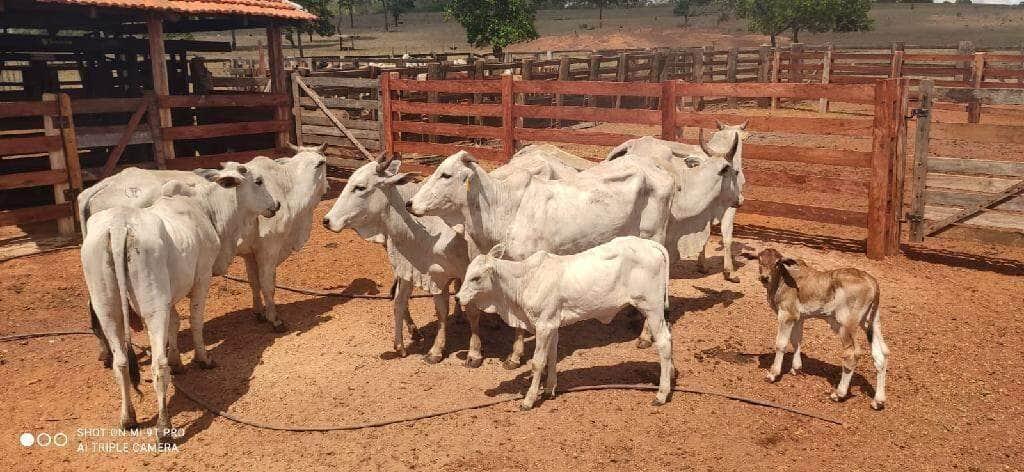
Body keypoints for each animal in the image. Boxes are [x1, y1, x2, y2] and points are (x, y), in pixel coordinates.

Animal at [81, 166, 278, 442]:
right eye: (258, 181)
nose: (276, 205)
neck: (205, 207)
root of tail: (120, 225)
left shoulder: (169, 297)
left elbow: (174, 324)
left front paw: (178, 362)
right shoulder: (202, 277)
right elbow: (195, 321)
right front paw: (202, 358)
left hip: (107, 308)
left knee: (120, 362)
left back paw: (128, 418)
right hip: (152, 309)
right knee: (157, 366)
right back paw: (164, 428)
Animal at [323, 158, 479, 364]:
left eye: (360, 187)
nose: (326, 220)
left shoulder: (465, 270)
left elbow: (472, 311)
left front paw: (474, 352)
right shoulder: (426, 274)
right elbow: (420, 307)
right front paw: (425, 348)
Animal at [454, 235, 671, 407]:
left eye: (475, 278)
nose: (457, 297)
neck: (525, 280)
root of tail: (651, 244)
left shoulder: (543, 325)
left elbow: (537, 362)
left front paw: (529, 400)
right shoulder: (552, 325)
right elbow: (551, 356)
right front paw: (549, 390)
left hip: (651, 308)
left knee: (664, 342)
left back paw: (661, 394)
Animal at [745, 246, 888, 407]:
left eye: (777, 263)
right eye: (759, 259)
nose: (764, 277)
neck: (782, 280)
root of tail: (871, 280)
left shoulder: (786, 315)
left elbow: (781, 344)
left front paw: (772, 374)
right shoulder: (798, 317)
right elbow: (796, 340)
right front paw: (796, 368)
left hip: (846, 323)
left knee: (852, 353)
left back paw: (839, 393)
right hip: (871, 321)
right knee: (881, 354)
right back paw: (878, 401)